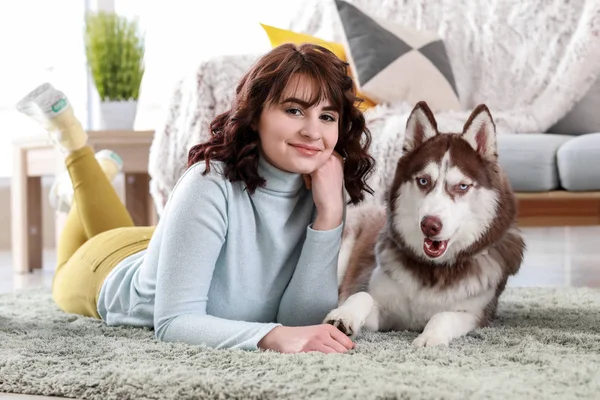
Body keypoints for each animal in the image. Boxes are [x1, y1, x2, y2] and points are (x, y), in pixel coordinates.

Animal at [324, 101, 524, 346]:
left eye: (462, 186)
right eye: (423, 181)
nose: (430, 225)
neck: (433, 269)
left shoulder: (477, 315)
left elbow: (444, 316)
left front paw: (430, 338)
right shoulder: (384, 310)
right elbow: (362, 295)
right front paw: (344, 315)